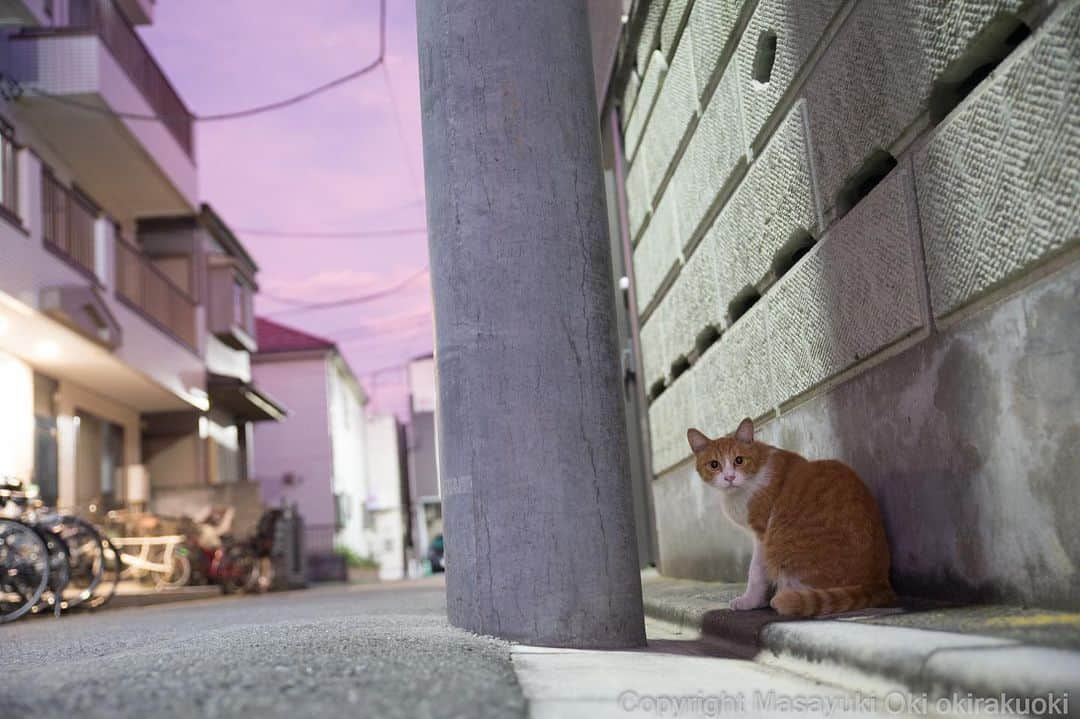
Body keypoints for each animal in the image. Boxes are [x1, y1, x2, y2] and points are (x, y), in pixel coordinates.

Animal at [691, 416, 894, 613]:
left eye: (739, 460)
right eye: (714, 465)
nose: (729, 477)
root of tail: (879, 583)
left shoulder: (762, 535)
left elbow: (756, 572)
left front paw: (750, 601)